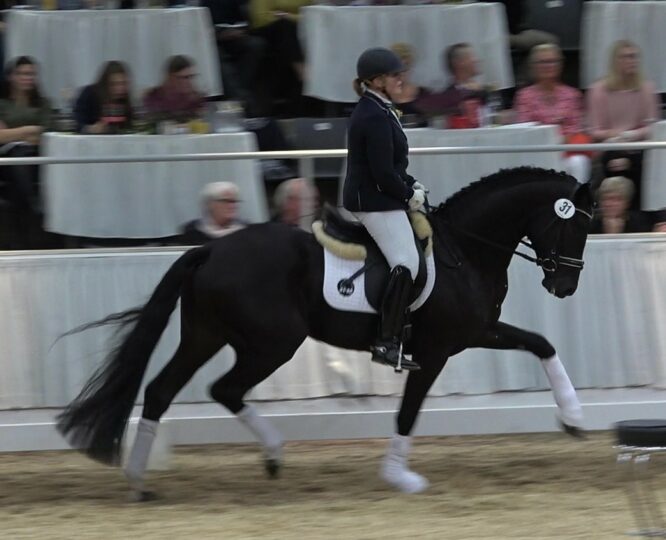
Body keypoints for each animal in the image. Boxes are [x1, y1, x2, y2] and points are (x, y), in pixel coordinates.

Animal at [58, 167, 592, 500]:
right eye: (573, 228)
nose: (565, 287)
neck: (465, 249)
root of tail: (211, 249)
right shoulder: (438, 348)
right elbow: (408, 411)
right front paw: (399, 478)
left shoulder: (475, 331)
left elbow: (542, 343)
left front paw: (573, 419)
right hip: (272, 343)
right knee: (222, 388)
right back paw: (265, 454)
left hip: (205, 335)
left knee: (162, 390)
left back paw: (143, 481)